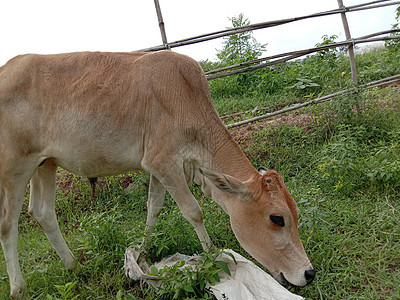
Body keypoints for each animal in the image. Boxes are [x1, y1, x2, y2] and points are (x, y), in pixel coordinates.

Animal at [0, 50, 312, 296]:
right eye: (277, 219)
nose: (309, 273)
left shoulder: (159, 168)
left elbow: (154, 207)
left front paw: (142, 252)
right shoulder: (164, 162)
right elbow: (194, 211)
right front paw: (212, 257)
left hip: (45, 163)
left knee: (42, 213)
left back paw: (73, 265)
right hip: (15, 167)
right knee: (7, 225)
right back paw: (18, 287)